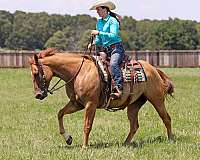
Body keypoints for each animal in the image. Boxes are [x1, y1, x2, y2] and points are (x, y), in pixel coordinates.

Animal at [28, 48, 173, 148]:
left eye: (35, 73)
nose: (38, 95)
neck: (79, 72)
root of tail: (153, 69)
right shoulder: (76, 104)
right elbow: (60, 113)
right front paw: (68, 138)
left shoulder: (90, 104)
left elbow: (87, 125)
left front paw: (84, 146)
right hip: (134, 104)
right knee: (134, 125)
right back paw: (125, 143)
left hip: (157, 99)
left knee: (166, 118)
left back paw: (171, 139)